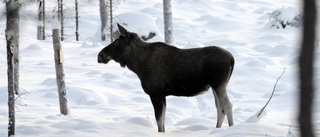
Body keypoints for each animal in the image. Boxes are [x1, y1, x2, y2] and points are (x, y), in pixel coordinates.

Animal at [97, 23, 235, 133]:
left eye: (116, 41)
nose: (100, 55)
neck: (138, 66)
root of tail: (232, 59)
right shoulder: (162, 95)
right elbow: (162, 121)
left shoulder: (155, 93)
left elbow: (159, 120)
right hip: (214, 86)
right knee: (220, 108)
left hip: (219, 84)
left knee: (227, 105)